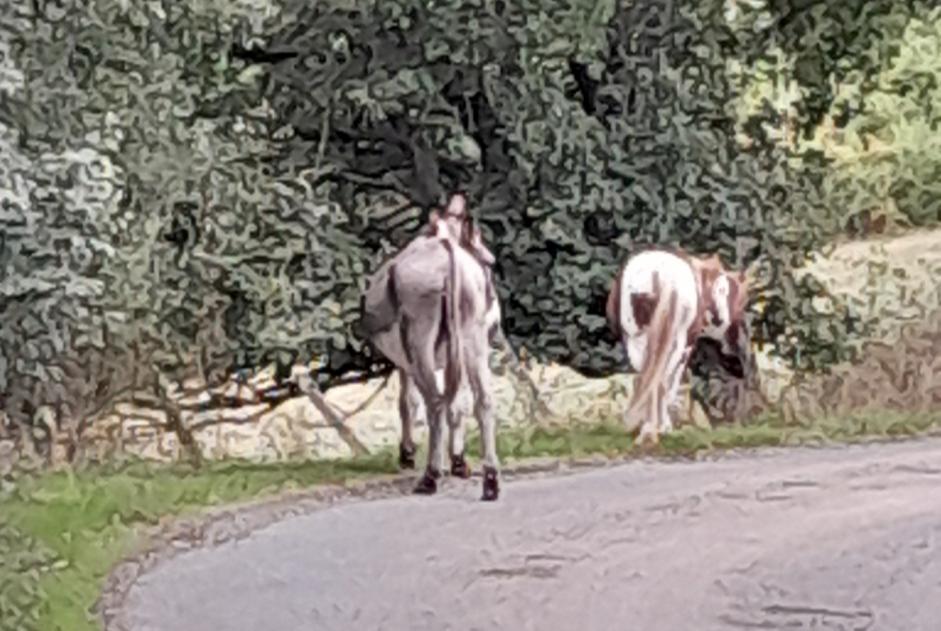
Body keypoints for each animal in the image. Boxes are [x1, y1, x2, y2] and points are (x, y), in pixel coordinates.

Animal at [356, 195, 504, 502]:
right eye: (476, 237)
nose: (491, 260)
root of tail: (447, 253)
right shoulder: (451, 357)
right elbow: (457, 404)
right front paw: (458, 461)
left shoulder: (405, 362)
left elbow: (408, 402)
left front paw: (408, 454)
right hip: (472, 340)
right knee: (483, 400)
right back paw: (490, 480)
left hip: (420, 338)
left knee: (434, 403)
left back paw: (430, 477)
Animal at [604, 247, 752, 444]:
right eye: (738, 300)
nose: (735, 348)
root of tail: (658, 274)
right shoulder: (686, 349)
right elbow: (670, 383)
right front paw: (664, 426)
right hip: (676, 342)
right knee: (660, 380)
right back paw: (652, 432)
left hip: (639, 339)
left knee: (648, 378)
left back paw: (646, 431)